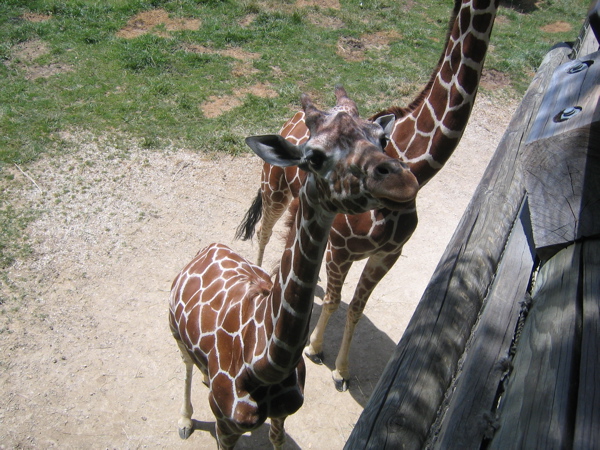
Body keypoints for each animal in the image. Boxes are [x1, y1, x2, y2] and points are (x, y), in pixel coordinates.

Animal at [171, 86, 420, 448]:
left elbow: (277, 440)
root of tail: (206, 249)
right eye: (313, 156)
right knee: (187, 365)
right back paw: (185, 420)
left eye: (382, 138)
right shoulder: (225, 427)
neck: (264, 364)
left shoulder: (284, 412)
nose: (402, 182)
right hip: (175, 333)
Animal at [237, 0, 500, 390]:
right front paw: (315, 348)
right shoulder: (341, 249)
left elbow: (357, 309)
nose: (399, 183)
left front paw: (342, 371)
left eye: (383, 138)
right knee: (266, 230)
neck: (417, 164)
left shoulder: (387, 255)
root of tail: (290, 119)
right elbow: (334, 301)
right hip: (274, 189)